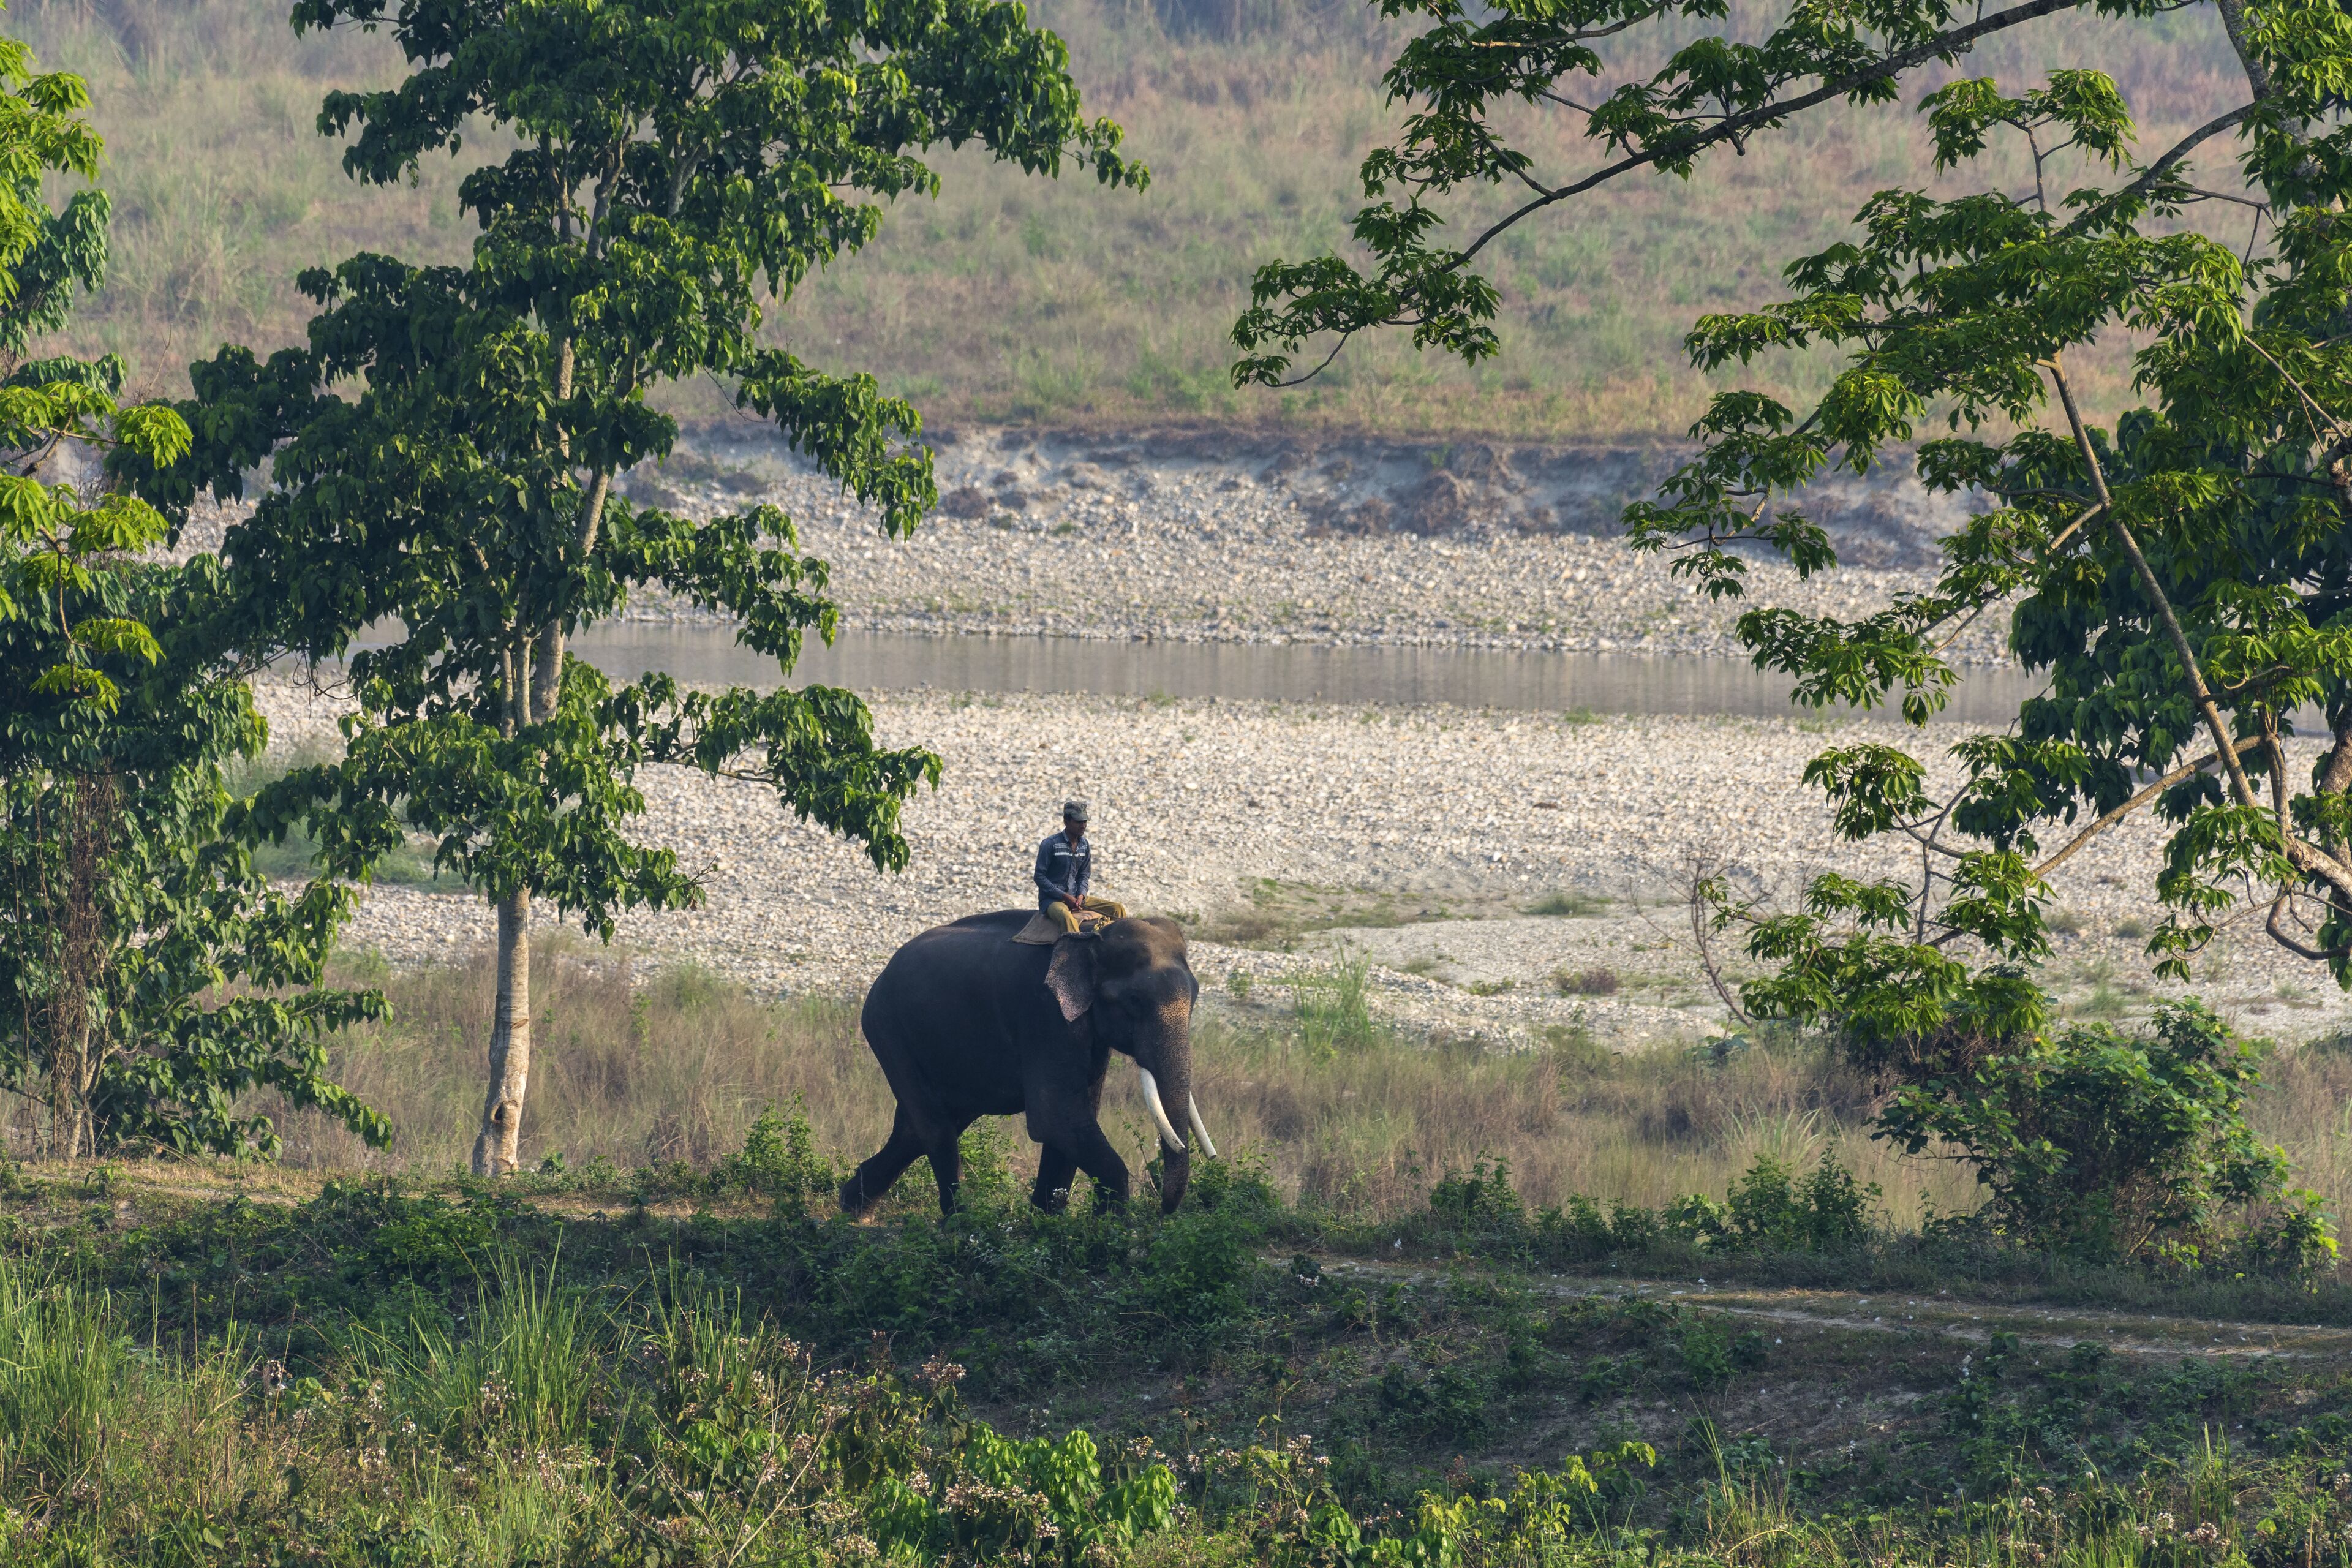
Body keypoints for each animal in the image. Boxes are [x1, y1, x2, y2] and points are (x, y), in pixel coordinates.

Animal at [841, 910, 1216, 1216]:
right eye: (1134, 1000)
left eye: (1196, 997)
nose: (1163, 1208)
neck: (1091, 936)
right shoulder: (1043, 1013)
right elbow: (1055, 1117)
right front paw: (1108, 1229)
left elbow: (1075, 1118)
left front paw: (1047, 1222)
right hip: (887, 1029)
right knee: (936, 1129)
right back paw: (961, 1224)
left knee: (915, 1131)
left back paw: (854, 1207)